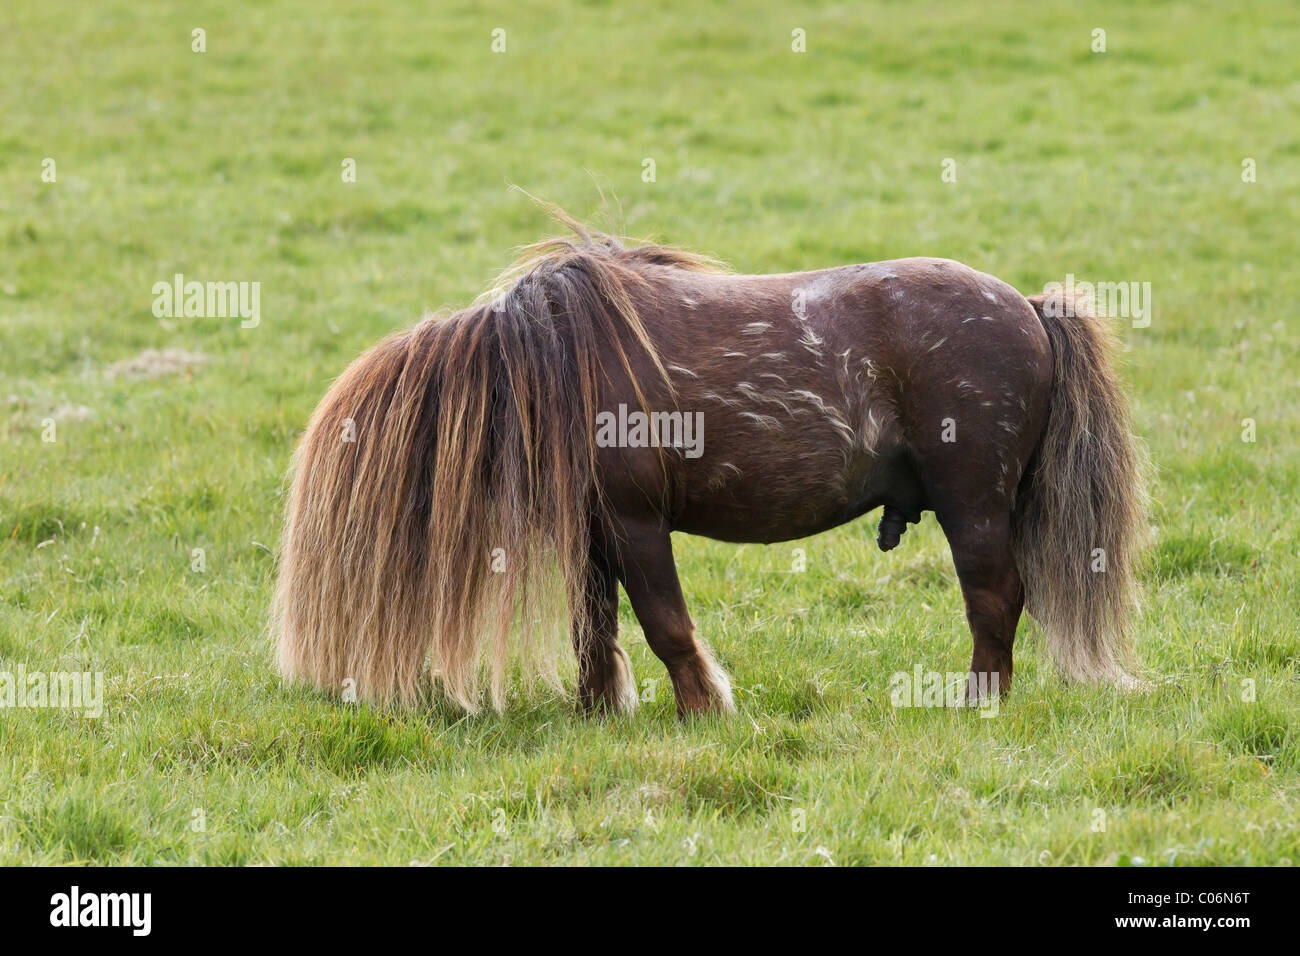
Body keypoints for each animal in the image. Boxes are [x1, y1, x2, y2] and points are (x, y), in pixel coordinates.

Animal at [269, 210, 1144, 717]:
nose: (336, 689)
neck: (552, 366)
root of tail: (1030, 308)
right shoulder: (596, 530)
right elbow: (596, 624)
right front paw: (600, 710)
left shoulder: (636, 523)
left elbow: (663, 622)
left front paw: (702, 710)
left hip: (975, 508)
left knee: (996, 599)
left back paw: (976, 703)